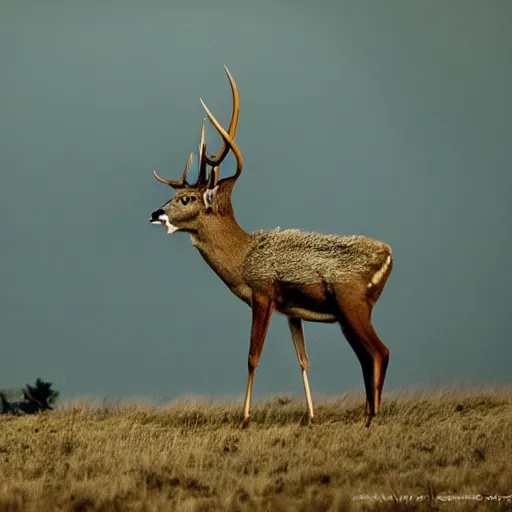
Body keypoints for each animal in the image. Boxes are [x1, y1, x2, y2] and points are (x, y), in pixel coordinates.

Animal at [150, 67, 394, 428]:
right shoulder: (291, 310)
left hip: (352, 303)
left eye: (187, 198)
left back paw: (371, 417)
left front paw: (245, 418)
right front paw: (310, 416)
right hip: (349, 312)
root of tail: (390, 256)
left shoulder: (263, 293)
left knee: (379, 351)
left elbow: (253, 356)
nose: (156, 213)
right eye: (175, 195)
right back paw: (367, 413)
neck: (243, 259)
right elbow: (303, 359)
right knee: (368, 356)